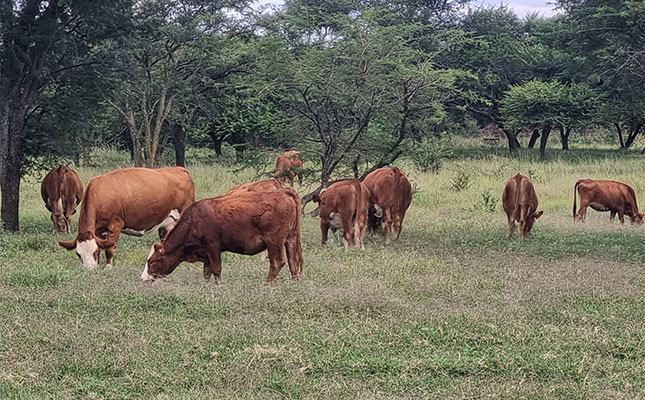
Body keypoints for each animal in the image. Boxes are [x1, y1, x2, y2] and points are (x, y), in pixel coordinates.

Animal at [59, 167, 195, 269]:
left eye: (95, 252)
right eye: (78, 254)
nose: (90, 270)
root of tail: (179, 169)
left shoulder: (115, 225)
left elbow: (109, 248)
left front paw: (108, 267)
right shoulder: (98, 230)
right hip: (167, 223)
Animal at [140, 189, 304, 284]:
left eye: (151, 261)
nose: (143, 278)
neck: (194, 220)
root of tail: (283, 193)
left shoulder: (212, 246)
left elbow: (216, 269)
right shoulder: (205, 252)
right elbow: (207, 271)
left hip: (274, 242)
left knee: (277, 263)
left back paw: (267, 284)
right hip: (290, 239)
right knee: (293, 262)